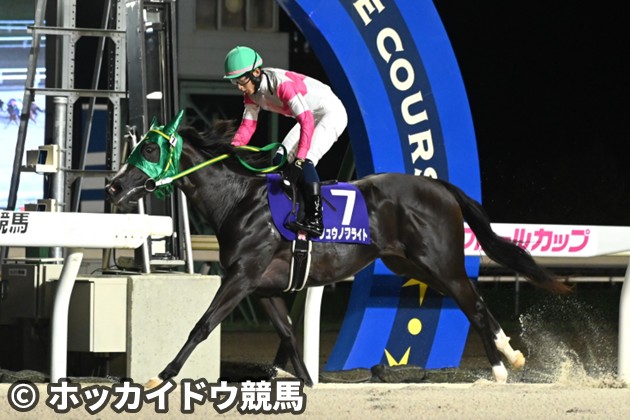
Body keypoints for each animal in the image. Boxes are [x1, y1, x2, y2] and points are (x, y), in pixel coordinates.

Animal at [105, 111, 571, 387]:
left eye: (149, 148)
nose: (112, 186)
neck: (239, 200)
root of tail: (440, 186)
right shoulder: (264, 287)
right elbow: (289, 335)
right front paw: (307, 383)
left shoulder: (240, 278)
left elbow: (201, 326)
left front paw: (160, 376)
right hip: (411, 266)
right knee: (475, 302)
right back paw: (512, 355)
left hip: (439, 262)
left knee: (472, 303)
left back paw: (499, 367)